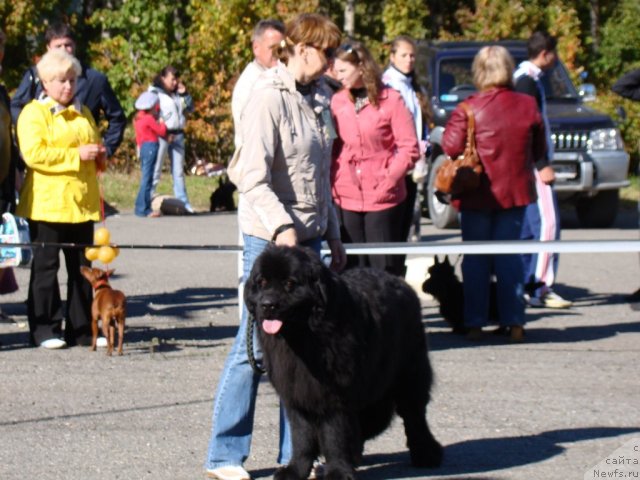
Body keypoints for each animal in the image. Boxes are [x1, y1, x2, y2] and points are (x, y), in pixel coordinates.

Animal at [242, 246, 442, 478]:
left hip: (409, 372)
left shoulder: (335, 395)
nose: (267, 304)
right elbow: (301, 437)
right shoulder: (297, 394)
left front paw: (337, 471)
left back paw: (426, 454)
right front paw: (295, 470)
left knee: (414, 415)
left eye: (290, 283)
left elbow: (334, 435)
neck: (304, 338)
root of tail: (401, 283)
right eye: (262, 282)